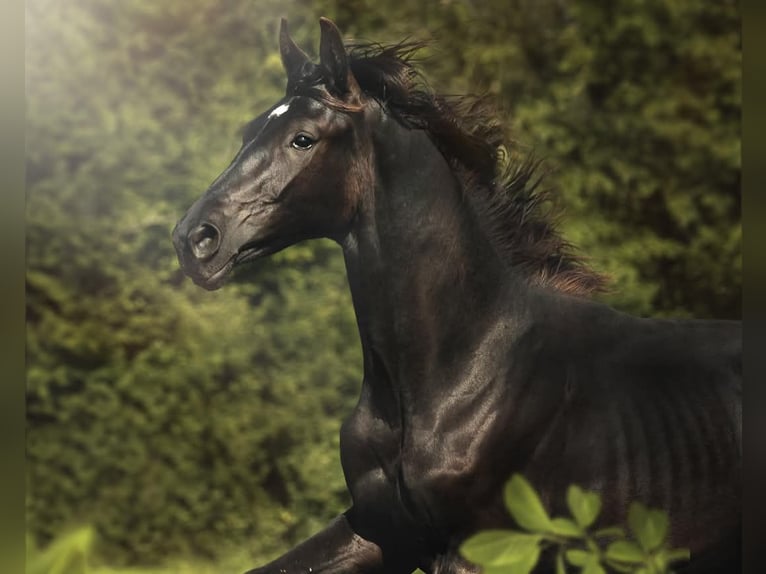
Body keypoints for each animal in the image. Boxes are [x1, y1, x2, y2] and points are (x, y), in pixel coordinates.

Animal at [172, 18, 741, 574]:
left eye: (303, 139)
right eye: (250, 130)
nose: (194, 239)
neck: (463, 367)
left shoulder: (482, 549)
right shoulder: (380, 532)